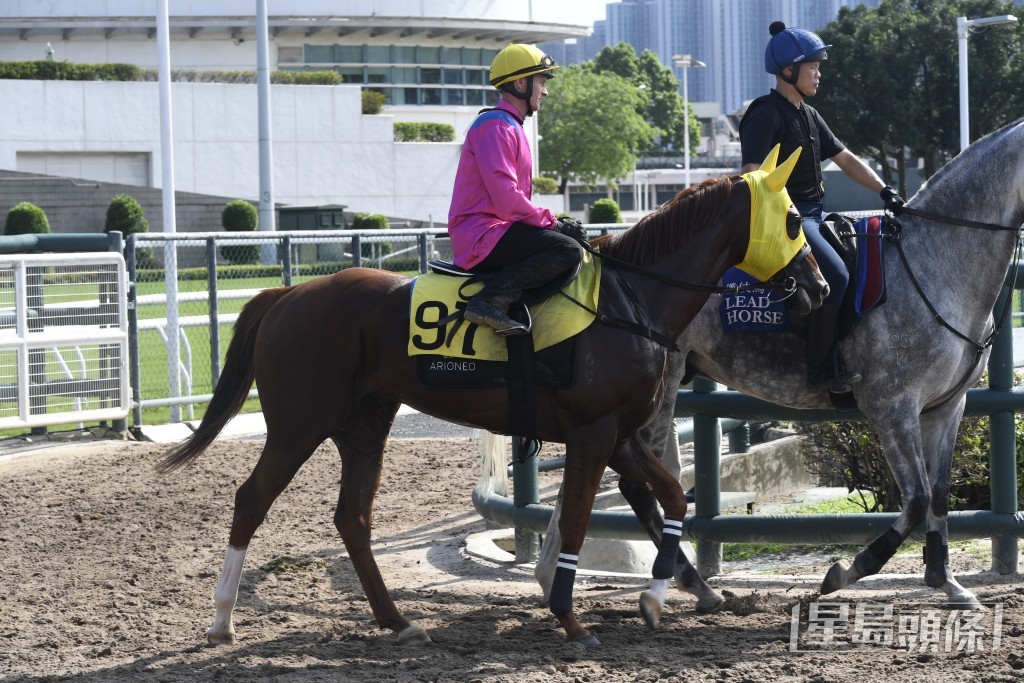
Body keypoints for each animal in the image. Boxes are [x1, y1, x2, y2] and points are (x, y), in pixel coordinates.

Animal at [155, 145, 827, 647]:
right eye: (795, 220)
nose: (818, 288)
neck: (629, 301)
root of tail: (286, 295)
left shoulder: (621, 435)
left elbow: (671, 497)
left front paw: (657, 598)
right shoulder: (593, 432)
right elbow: (579, 519)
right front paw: (570, 617)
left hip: (364, 425)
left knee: (353, 516)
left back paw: (396, 621)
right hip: (301, 422)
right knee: (252, 499)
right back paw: (221, 619)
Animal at [536, 117, 1024, 626]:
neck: (930, 266)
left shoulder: (946, 408)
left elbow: (940, 496)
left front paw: (946, 582)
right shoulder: (892, 409)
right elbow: (916, 499)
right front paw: (844, 573)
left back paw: (566, 578)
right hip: (656, 394)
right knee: (636, 487)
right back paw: (682, 585)